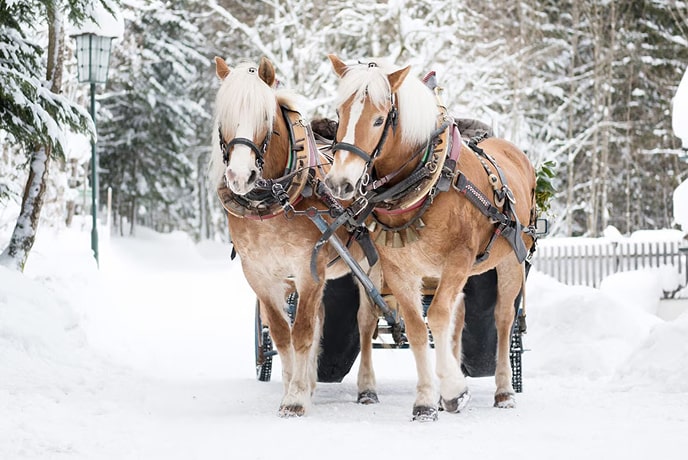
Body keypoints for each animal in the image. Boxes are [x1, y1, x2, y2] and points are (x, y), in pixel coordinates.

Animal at [209, 56, 381, 416]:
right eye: (224, 118)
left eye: (264, 118)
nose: (239, 176)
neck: (272, 200)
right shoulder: (260, 274)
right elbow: (281, 333)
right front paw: (293, 386)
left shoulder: (307, 269)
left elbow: (301, 332)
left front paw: (296, 398)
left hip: (369, 267)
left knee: (365, 322)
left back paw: (367, 388)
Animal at [324, 55, 537, 421]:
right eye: (339, 114)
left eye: (379, 119)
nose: (340, 183)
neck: (428, 182)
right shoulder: (400, 270)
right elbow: (417, 327)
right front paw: (426, 400)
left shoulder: (459, 260)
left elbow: (436, 317)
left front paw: (453, 388)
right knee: (453, 319)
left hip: (511, 261)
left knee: (503, 320)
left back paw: (504, 391)